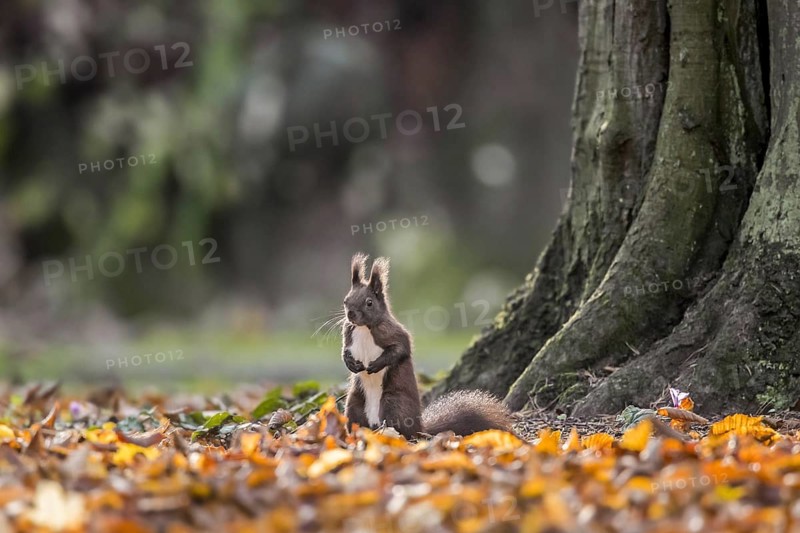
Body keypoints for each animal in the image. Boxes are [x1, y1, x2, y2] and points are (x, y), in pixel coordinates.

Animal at [341, 253, 513, 440]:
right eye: (345, 301)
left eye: (369, 302)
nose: (351, 314)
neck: (364, 328)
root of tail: (420, 428)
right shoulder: (348, 333)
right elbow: (344, 350)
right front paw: (350, 363)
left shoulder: (395, 333)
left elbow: (400, 349)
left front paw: (376, 364)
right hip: (354, 403)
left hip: (393, 403)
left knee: (403, 431)